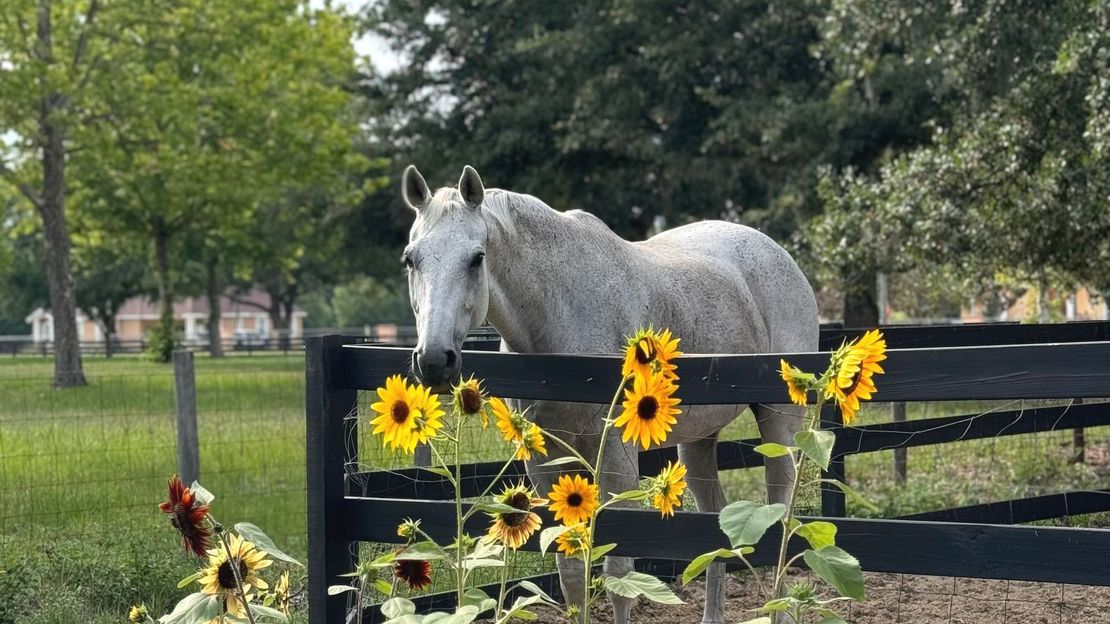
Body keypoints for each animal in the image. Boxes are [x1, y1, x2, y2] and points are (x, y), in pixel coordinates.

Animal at [401, 164, 819, 624]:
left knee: (782, 523)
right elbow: (570, 575)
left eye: (476, 258)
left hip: (780, 425)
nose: (434, 360)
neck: (560, 315)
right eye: (410, 259)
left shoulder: (617, 461)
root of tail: (780, 256)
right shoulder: (545, 463)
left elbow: (619, 575)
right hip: (698, 442)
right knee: (714, 528)